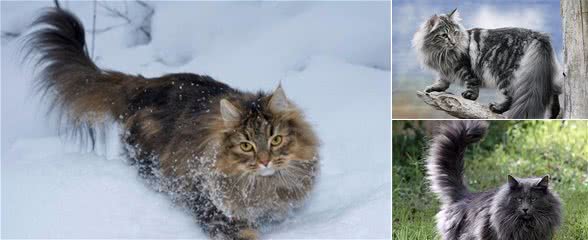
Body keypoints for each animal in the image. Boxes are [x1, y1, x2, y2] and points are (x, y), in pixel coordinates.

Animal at [26, 6, 322, 239]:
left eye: (276, 140)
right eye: (246, 146)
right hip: (152, 163)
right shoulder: (211, 208)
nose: (264, 161)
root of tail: (145, 84)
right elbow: (243, 232)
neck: (264, 188)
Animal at [412, 8, 564, 119]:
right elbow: (442, 82)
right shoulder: (444, 69)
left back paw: (497, 108)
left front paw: (470, 95)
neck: (440, 53)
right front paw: (433, 89)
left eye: (455, 33)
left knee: (513, 97)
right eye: (444, 35)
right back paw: (553, 115)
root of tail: (536, 35)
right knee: (553, 95)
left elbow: (471, 83)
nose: (453, 42)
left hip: (507, 75)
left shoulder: (464, 66)